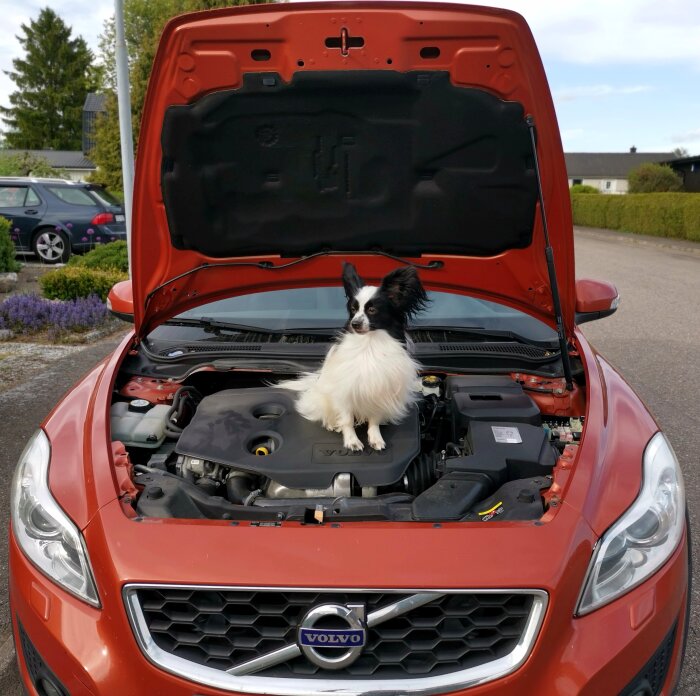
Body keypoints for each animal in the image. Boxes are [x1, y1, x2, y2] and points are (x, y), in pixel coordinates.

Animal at [278, 260, 426, 452]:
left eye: (372, 310)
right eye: (353, 310)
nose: (355, 323)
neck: (369, 344)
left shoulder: (378, 390)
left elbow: (374, 420)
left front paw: (375, 438)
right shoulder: (344, 391)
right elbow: (347, 420)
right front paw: (351, 441)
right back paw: (332, 424)